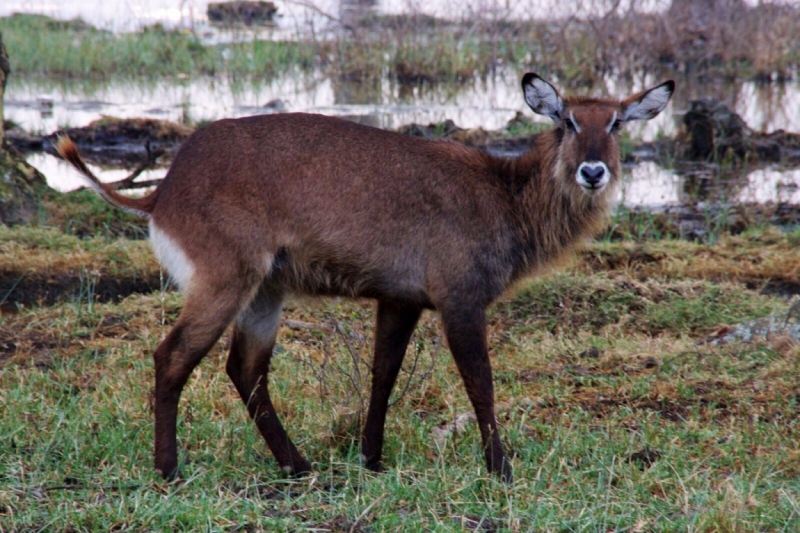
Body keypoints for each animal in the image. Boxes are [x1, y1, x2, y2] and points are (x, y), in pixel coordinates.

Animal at [54, 72, 676, 484]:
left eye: (616, 122)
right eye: (567, 120)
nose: (593, 172)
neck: (506, 196)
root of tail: (161, 191)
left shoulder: (400, 299)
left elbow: (383, 376)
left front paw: (371, 458)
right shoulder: (459, 298)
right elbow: (481, 382)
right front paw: (501, 469)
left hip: (266, 289)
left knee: (245, 370)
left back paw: (297, 465)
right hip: (224, 278)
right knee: (172, 358)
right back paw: (169, 470)